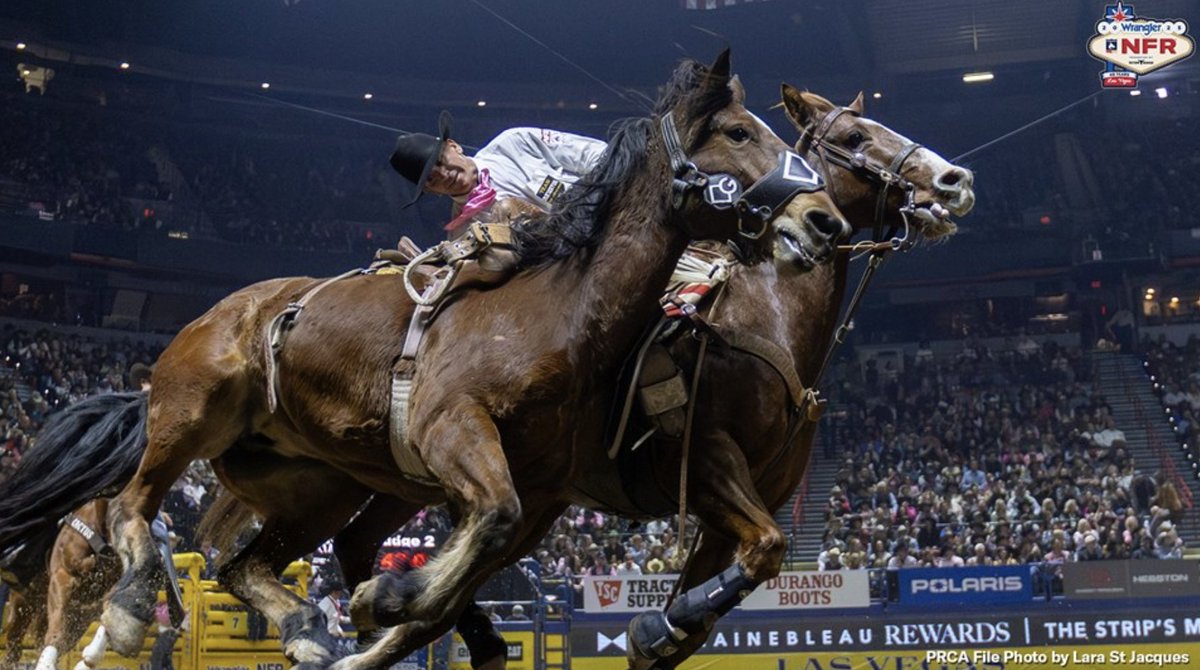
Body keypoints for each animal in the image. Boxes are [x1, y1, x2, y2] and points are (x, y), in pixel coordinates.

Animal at [0, 50, 849, 670]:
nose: (823, 218)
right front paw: (387, 604)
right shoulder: (456, 431)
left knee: (245, 564)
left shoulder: (540, 488)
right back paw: (131, 612)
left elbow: (473, 558)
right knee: (135, 507)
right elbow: (483, 530)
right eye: (737, 132)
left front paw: (389, 608)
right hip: (192, 414)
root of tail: (218, 315)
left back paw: (310, 629)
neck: (559, 315)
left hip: (318, 485)